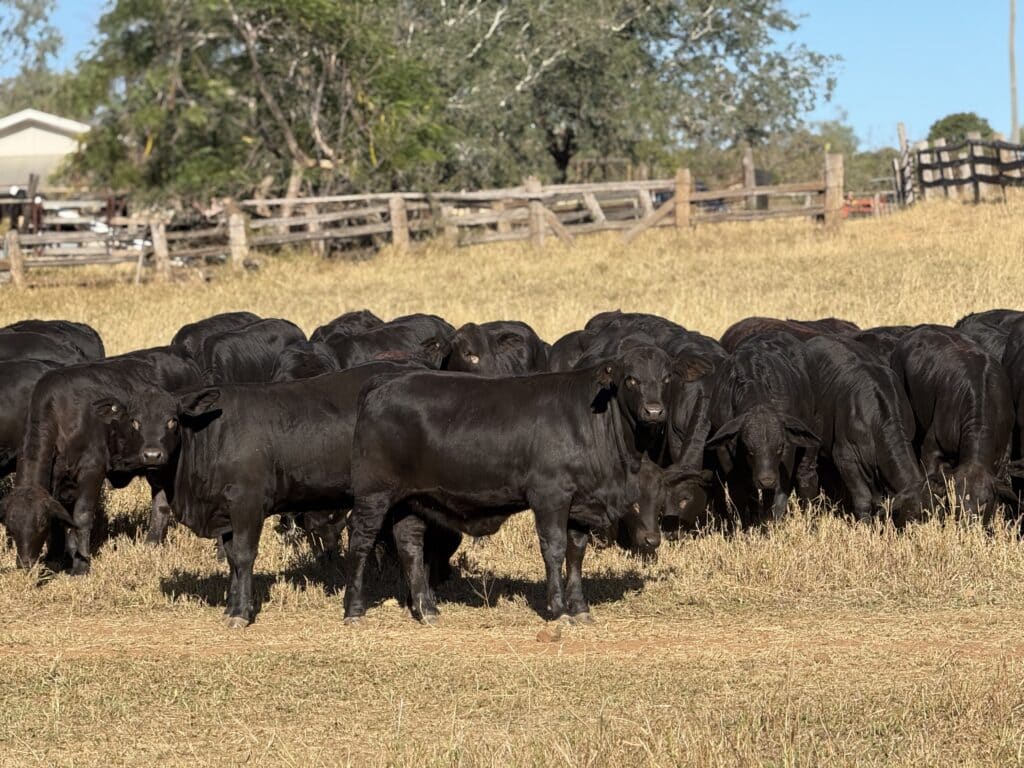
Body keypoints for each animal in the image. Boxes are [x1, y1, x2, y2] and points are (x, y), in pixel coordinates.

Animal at [168, 361, 453, 628]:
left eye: (172, 420)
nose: (156, 454)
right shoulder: (226, 513)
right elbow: (231, 560)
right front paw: (231, 607)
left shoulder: (247, 505)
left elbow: (243, 555)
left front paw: (240, 612)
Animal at [342, 345, 678, 626]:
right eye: (631, 379)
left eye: (665, 378)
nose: (654, 411)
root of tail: (386, 381)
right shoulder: (550, 496)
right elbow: (555, 549)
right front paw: (558, 609)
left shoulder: (582, 503)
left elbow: (576, 553)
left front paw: (580, 608)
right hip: (374, 493)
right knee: (361, 541)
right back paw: (354, 609)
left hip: (412, 498)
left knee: (410, 543)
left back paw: (427, 609)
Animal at [706, 332, 822, 525]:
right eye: (749, 449)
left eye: (779, 448)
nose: (766, 480)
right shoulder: (725, 453)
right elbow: (739, 492)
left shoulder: (786, 455)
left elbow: (777, 496)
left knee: (806, 475)